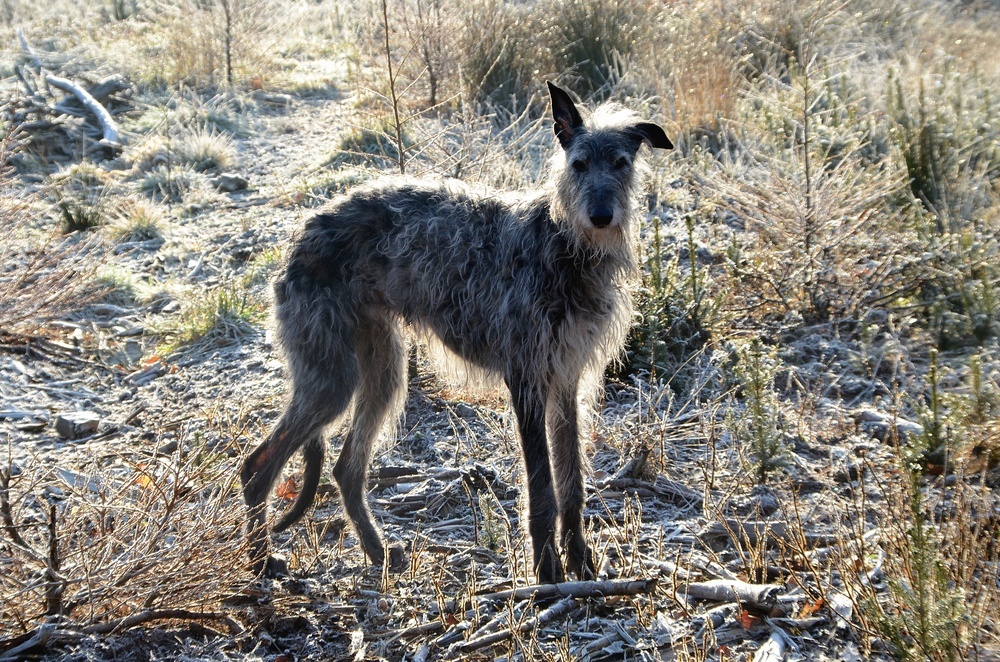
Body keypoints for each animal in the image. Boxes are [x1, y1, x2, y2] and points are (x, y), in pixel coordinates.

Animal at [240, 84, 672, 588]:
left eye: (621, 162)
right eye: (579, 163)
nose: (601, 216)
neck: (562, 243)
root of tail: (302, 231)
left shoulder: (566, 383)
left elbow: (571, 482)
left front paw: (579, 560)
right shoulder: (526, 380)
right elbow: (542, 487)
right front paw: (546, 571)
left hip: (381, 370)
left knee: (346, 469)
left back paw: (377, 553)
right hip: (332, 379)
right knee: (257, 467)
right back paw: (260, 561)